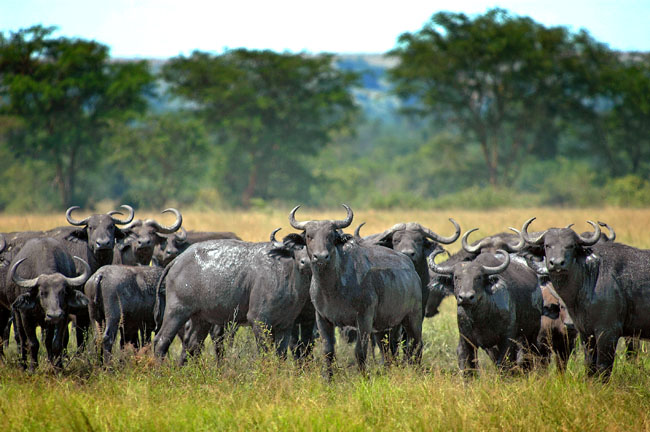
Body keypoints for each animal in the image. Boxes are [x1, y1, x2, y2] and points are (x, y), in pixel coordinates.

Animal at [2, 238, 90, 370]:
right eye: (42, 293)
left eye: (62, 292)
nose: (54, 315)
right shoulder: (25, 315)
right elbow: (32, 343)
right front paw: (32, 368)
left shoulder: (63, 315)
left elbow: (56, 343)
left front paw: (58, 367)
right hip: (16, 313)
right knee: (21, 339)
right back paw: (23, 365)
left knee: (48, 341)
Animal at [153, 231, 312, 364]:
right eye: (297, 246)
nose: (306, 262)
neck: (288, 276)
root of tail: (178, 259)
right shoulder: (258, 320)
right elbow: (264, 352)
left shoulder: (286, 325)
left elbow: (282, 355)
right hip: (176, 311)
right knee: (161, 340)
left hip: (201, 318)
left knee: (192, 344)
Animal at [288, 205, 423, 378]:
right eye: (309, 236)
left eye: (331, 236)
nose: (321, 257)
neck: (332, 289)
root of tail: (411, 268)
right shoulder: (322, 318)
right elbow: (328, 351)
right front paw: (327, 378)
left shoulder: (364, 318)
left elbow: (360, 351)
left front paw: (364, 377)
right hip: (385, 326)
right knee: (388, 350)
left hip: (413, 317)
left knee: (417, 343)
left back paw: (417, 371)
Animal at [428, 246, 542, 376]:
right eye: (456, 277)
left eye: (478, 277)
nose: (466, 297)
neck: (480, 319)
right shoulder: (466, 341)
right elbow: (468, 368)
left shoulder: (507, 340)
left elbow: (504, 365)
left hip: (531, 334)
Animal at [521, 217, 650, 379]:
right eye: (547, 245)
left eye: (571, 245)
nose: (556, 263)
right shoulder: (586, 333)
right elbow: (590, 367)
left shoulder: (608, 332)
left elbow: (604, 368)